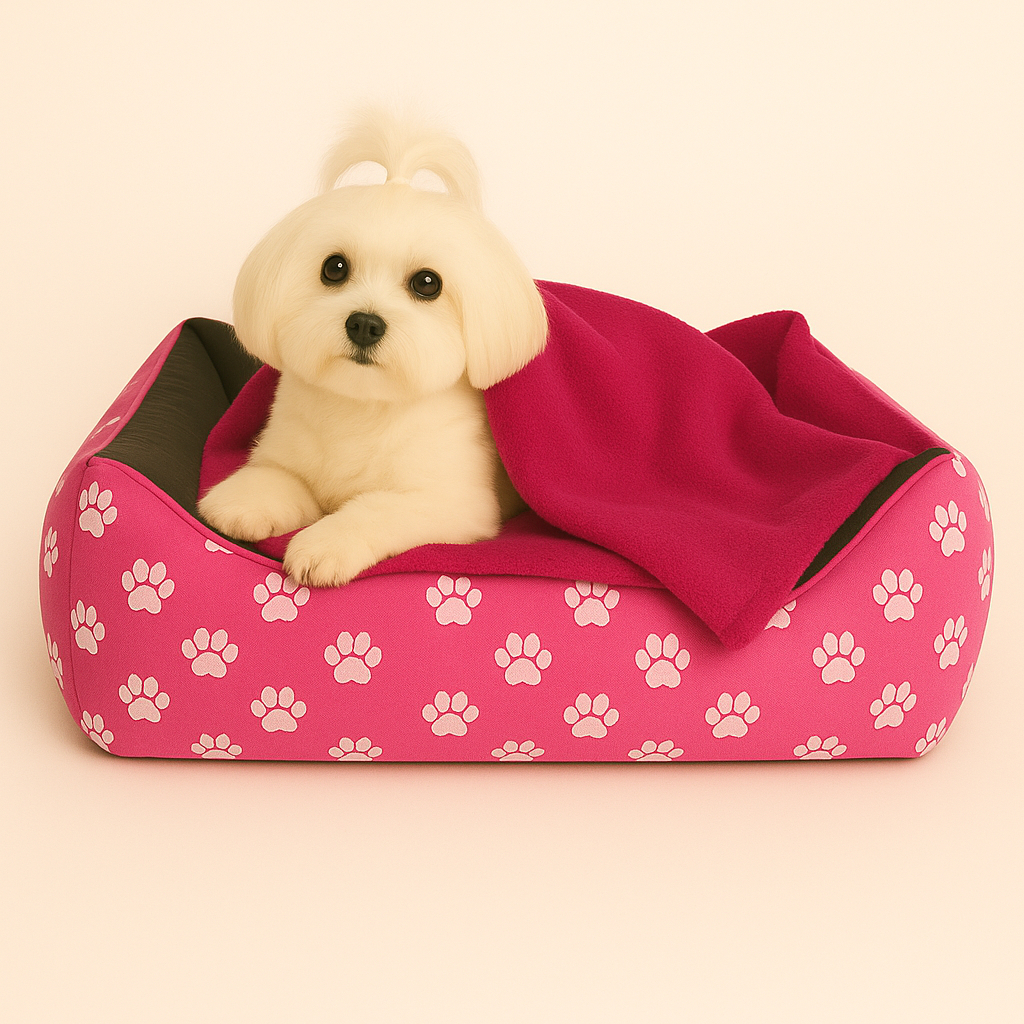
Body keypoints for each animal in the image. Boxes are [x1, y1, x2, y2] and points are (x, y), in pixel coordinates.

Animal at [198, 109, 548, 587]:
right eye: (334, 268)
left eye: (427, 283)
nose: (364, 324)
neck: (363, 410)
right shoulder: (291, 455)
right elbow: (281, 476)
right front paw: (244, 500)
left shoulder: (453, 504)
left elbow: (377, 508)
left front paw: (325, 544)